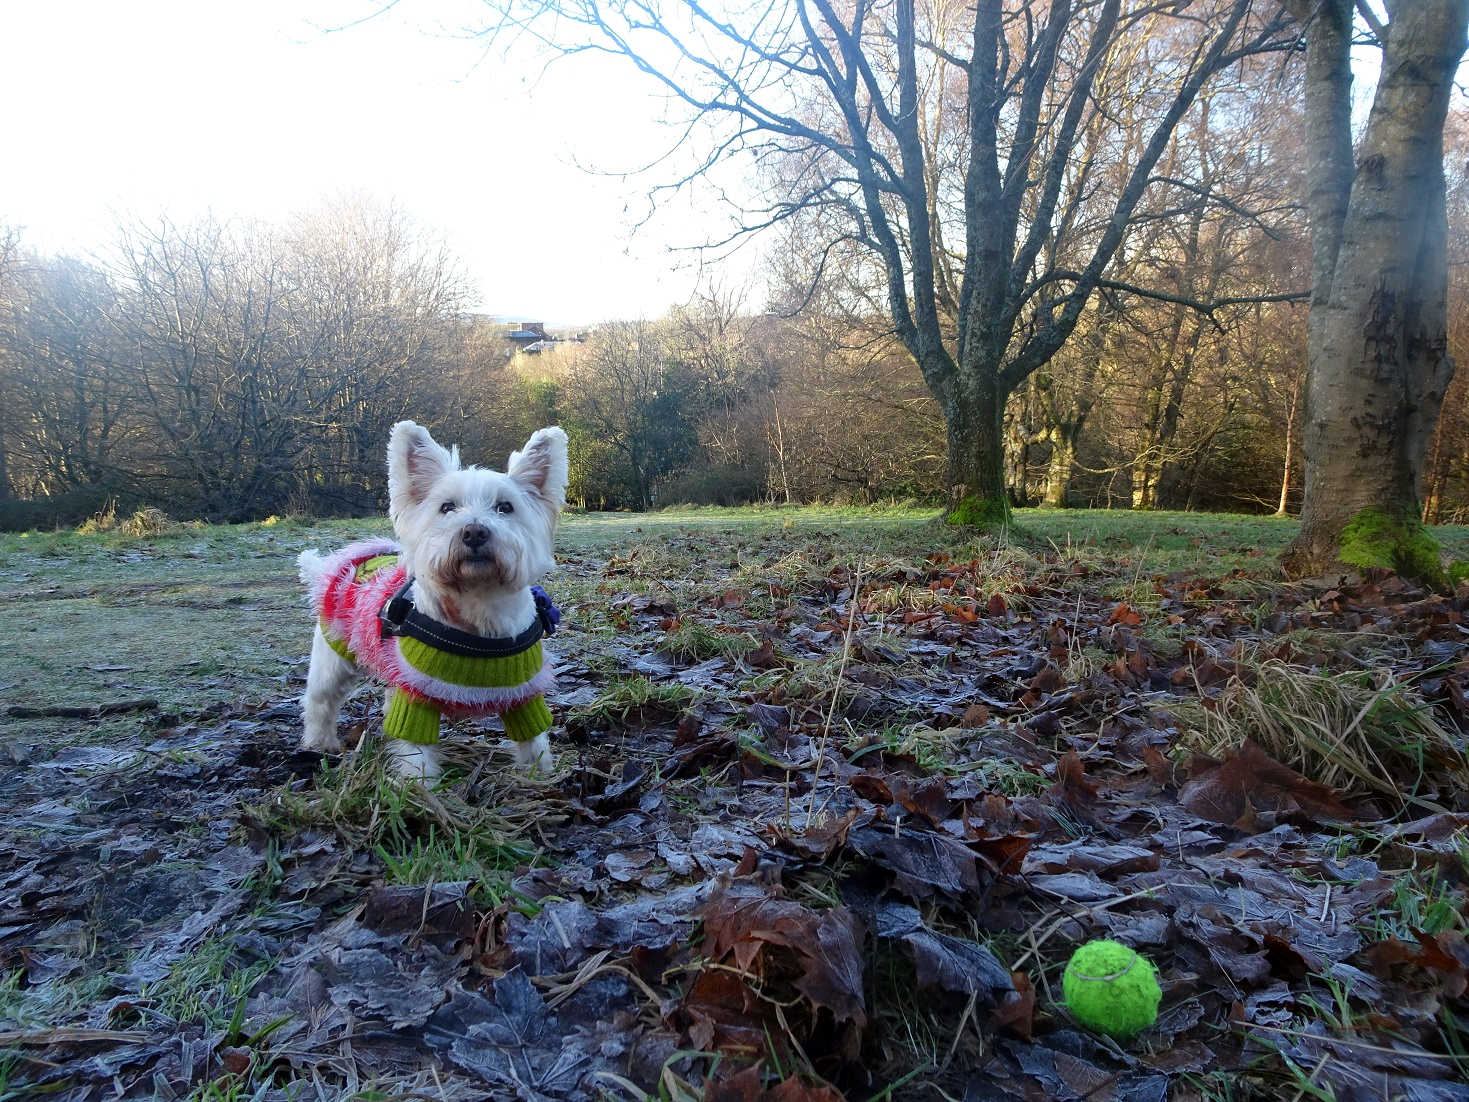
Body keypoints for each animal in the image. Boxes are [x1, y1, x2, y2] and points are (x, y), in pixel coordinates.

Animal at [295, 423, 564, 787]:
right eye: (447, 507)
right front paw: (419, 791)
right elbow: (415, 752)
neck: (477, 609)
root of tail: (338, 564)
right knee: (319, 701)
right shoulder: (415, 698)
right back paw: (319, 743)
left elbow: (533, 738)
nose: (474, 532)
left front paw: (540, 775)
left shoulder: (524, 693)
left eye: (505, 507)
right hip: (333, 658)